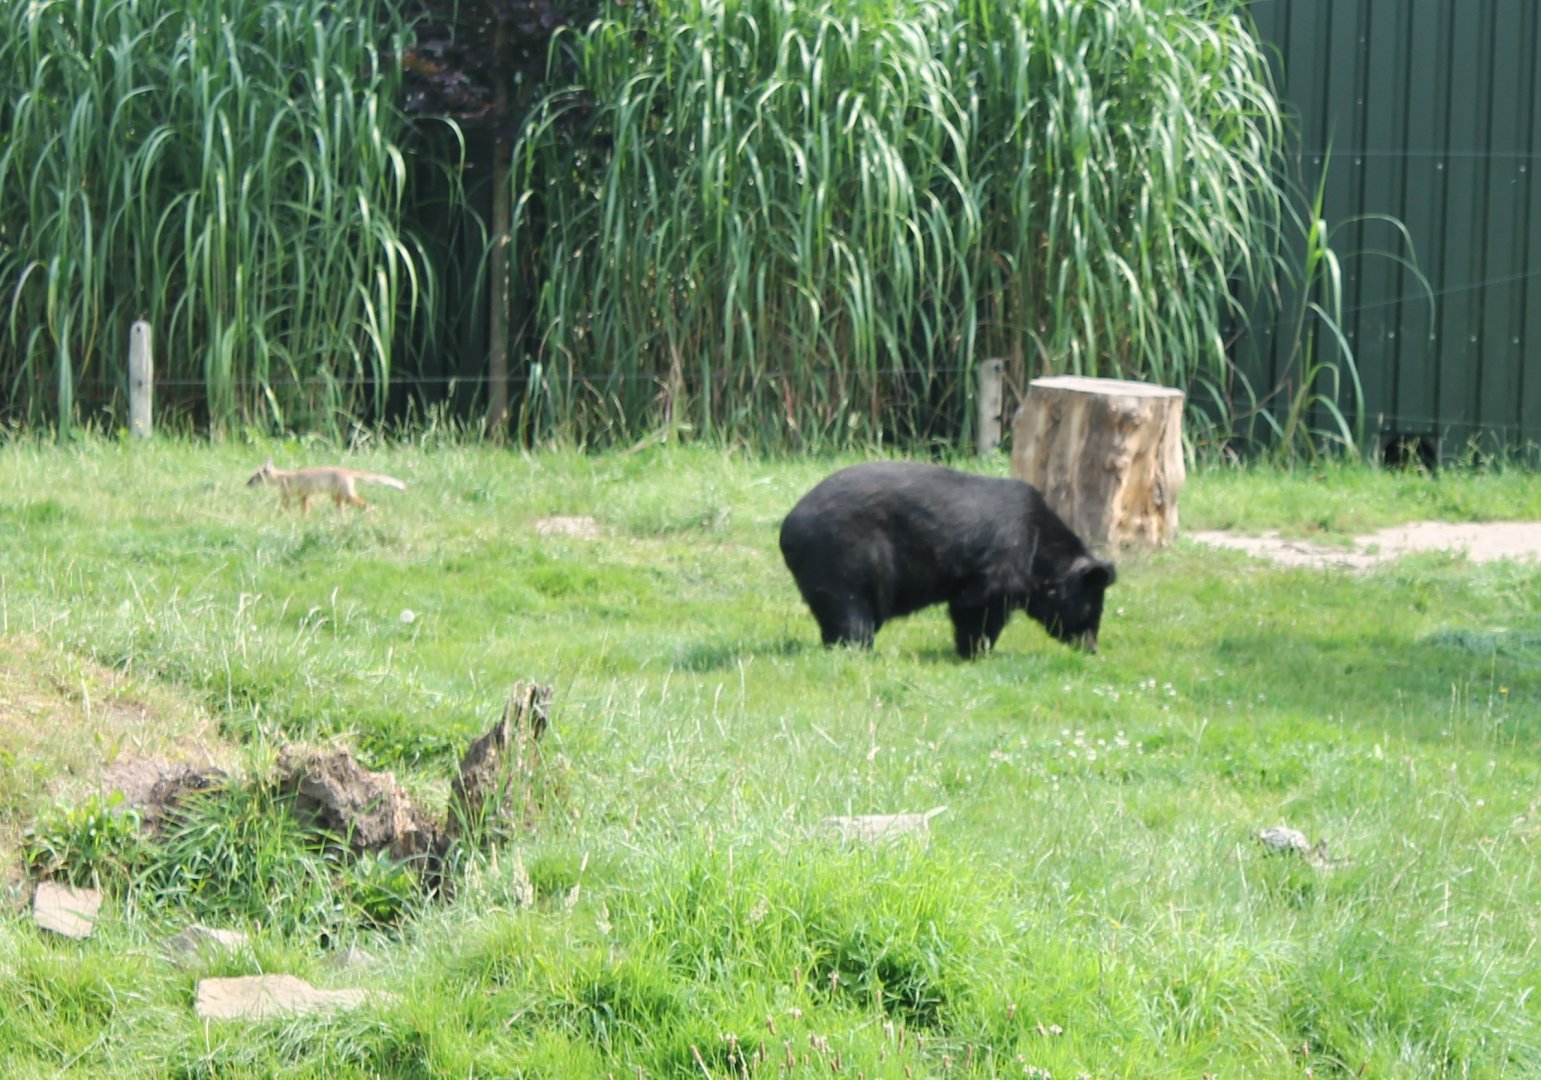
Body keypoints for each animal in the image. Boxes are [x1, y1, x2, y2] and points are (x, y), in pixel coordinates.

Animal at [247, 459, 406, 515]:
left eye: (255, 477)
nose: (246, 484)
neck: (286, 478)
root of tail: (347, 471)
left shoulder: (301, 496)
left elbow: (289, 512)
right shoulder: (302, 497)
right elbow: (301, 512)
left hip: (346, 498)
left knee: (367, 505)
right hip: (339, 499)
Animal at [778, 461, 1116, 657]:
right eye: (1091, 611)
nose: (1091, 648)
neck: (1039, 550)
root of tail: (789, 526)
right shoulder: (1003, 557)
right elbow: (979, 604)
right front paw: (976, 651)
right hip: (844, 557)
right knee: (850, 611)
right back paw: (857, 649)